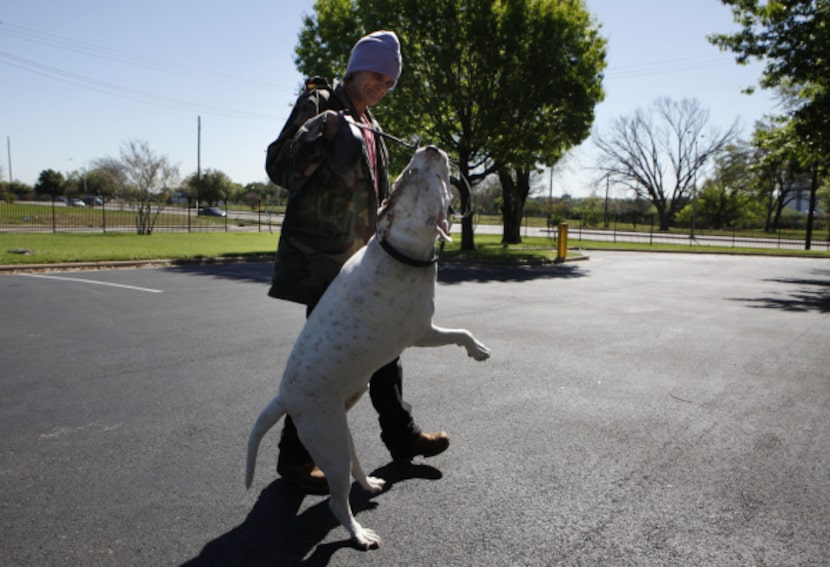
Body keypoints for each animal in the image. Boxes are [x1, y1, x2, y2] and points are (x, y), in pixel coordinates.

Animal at [247, 145, 494, 552]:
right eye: (434, 179)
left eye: (409, 172)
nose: (430, 148)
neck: (399, 248)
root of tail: (285, 396)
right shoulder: (422, 332)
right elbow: (460, 331)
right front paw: (477, 350)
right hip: (327, 439)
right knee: (337, 500)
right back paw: (359, 535)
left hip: (339, 430)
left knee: (354, 468)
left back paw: (371, 485)